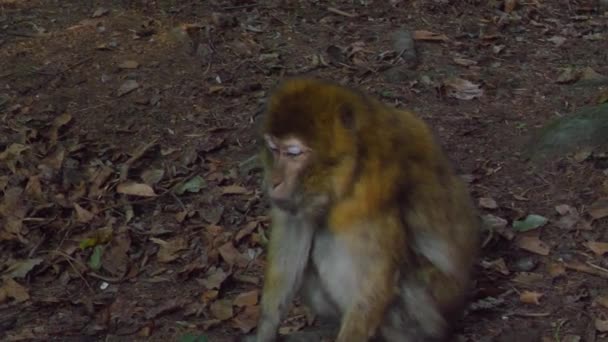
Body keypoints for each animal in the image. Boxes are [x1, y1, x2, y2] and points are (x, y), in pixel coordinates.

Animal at [247, 78, 480, 342]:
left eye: (293, 153)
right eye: (274, 150)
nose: (273, 180)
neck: (352, 164)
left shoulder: (367, 194)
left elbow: (374, 283)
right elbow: (293, 237)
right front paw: (265, 331)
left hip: (423, 313)